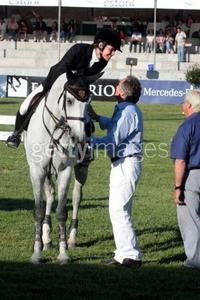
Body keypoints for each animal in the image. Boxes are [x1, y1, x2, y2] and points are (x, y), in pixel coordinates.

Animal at [24, 71, 101, 264]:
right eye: (70, 101)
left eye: (88, 102)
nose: (79, 138)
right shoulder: (37, 170)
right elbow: (38, 209)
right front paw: (37, 252)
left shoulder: (64, 170)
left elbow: (61, 211)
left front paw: (64, 253)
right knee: (50, 193)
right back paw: (46, 238)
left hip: (81, 169)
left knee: (76, 197)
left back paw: (72, 238)